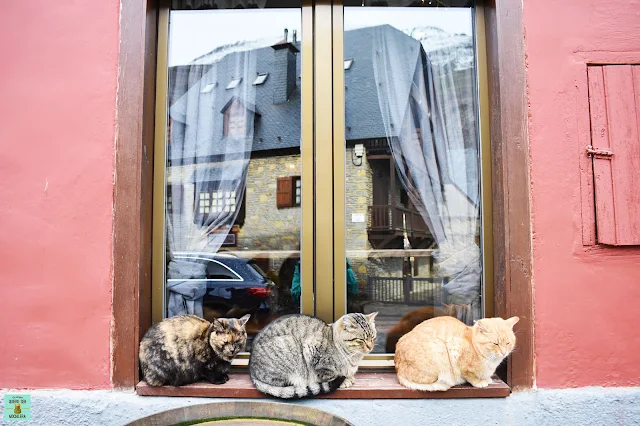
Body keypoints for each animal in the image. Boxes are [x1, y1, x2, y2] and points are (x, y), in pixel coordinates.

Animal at [249, 312, 380, 400]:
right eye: (361, 340)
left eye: (373, 337)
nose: (370, 347)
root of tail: (251, 372)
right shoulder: (313, 352)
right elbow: (331, 374)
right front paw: (345, 380)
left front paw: (350, 377)